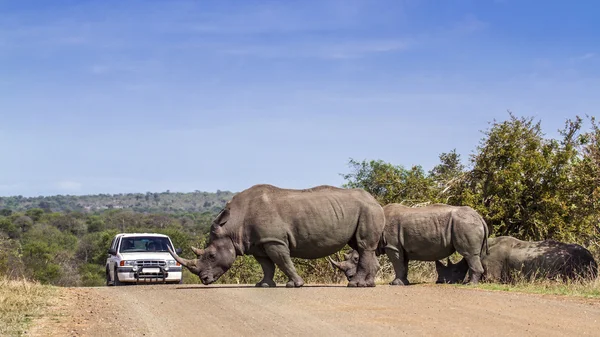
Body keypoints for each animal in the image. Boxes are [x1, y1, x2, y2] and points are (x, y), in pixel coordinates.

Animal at [168, 184, 384, 286]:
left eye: (212, 255)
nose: (204, 279)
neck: (233, 225)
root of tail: (375, 200)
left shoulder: (274, 240)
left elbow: (283, 262)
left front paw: (295, 284)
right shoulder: (257, 243)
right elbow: (267, 266)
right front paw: (263, 285)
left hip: (368, 210)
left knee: (363, 246)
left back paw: (355, 285)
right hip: (364, 210)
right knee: (361, 246)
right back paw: (368, 285)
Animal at [330, 202, 490, 284]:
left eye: (356, 258)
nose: (350, 278)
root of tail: (480, 217)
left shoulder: (393, 246)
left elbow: (397, 264)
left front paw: (395, 283)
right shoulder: (401, 247)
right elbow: (403, 265)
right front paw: (403, 282)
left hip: (466, 224)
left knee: (469, 254)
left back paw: (470, 284)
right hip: (468, 224)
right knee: (474, 255)